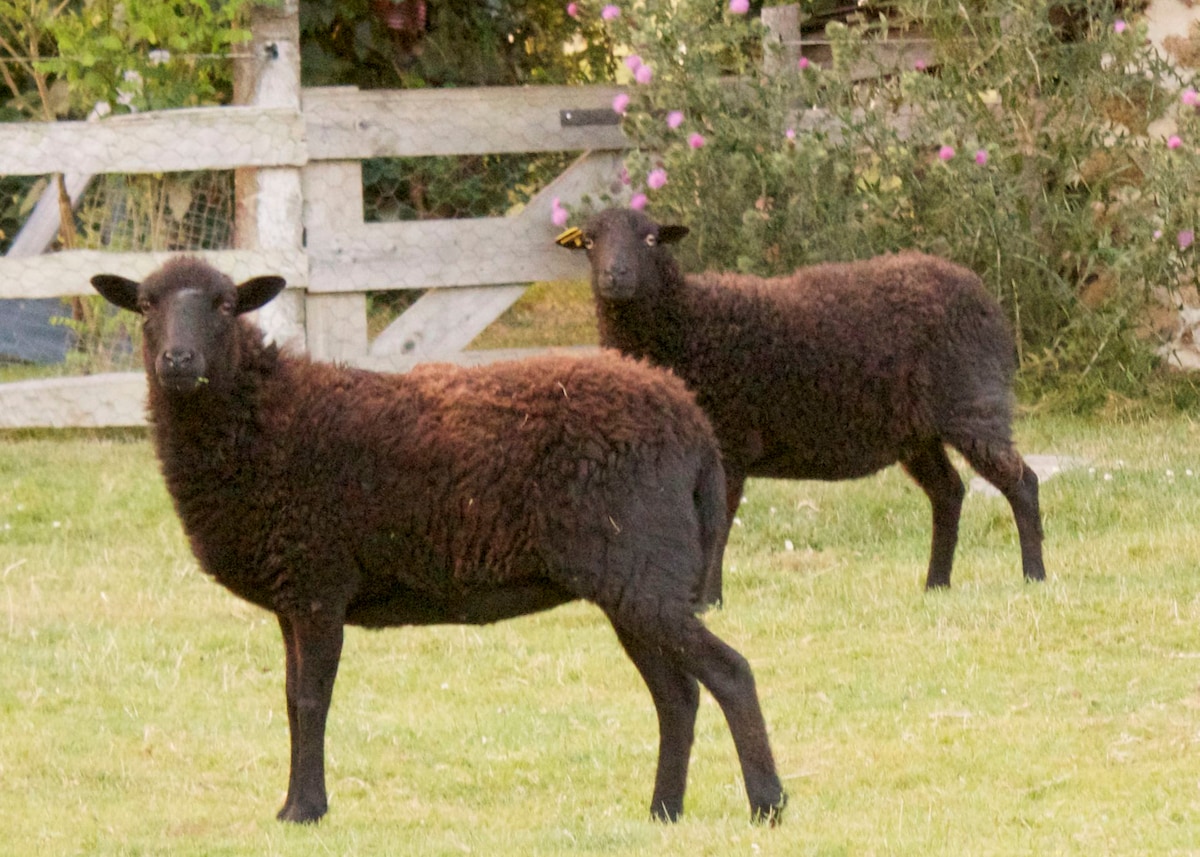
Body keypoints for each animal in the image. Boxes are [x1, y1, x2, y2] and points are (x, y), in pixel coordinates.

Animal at [93, 256, 787, 825]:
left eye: (224, 306)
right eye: (147, 305)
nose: (178, 363)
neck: (263, 418)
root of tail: (692, 423)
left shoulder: (317, 583)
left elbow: (311, 700)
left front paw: (305, 811)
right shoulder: (294, 594)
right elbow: (291, 701)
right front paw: (294, 805)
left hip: (645, 573)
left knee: (731, 673)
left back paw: (767, 805)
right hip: (634, 584)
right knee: (678, 696)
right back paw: (663, 812)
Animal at [556, 210, 1046, 590]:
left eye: (650, 239)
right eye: (589, 242)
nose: (615, 276)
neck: (686, 324)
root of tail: (980, 293)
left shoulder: (730, 444)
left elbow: (716, 527)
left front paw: (708, 599)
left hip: (973, 402)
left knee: (1021, 481)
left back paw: (1034, 575)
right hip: (917, 432)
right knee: (949, 492)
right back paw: (936, 584)